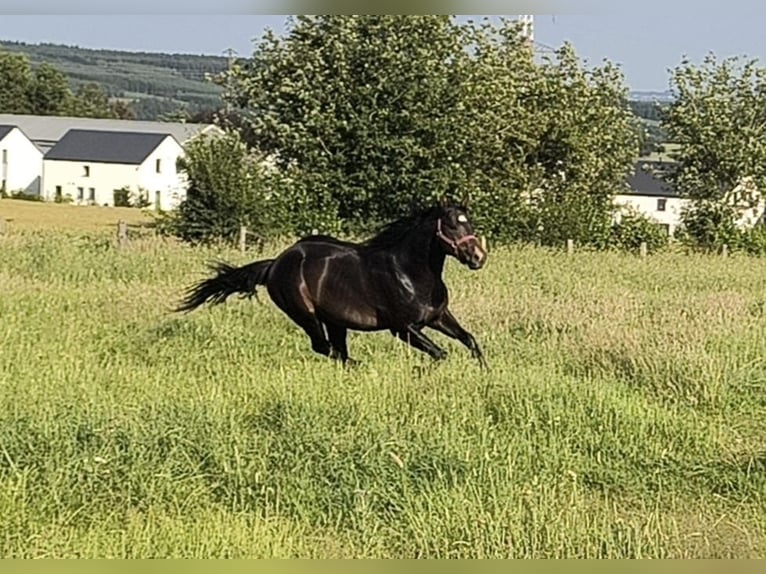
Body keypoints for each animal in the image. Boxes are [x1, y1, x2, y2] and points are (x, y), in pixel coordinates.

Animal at [175, 200, 488, 367]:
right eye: (451, 225)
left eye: (470, 223)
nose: (478, 257)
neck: (410, 273)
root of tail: (275, 264)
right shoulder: (403, 328)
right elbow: (440, 353)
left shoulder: (438, 317)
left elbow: (470, 340)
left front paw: (484, 371)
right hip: (306, 315)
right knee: (325, 348)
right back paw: (360, 366)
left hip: (336, 320)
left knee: (334, 349)